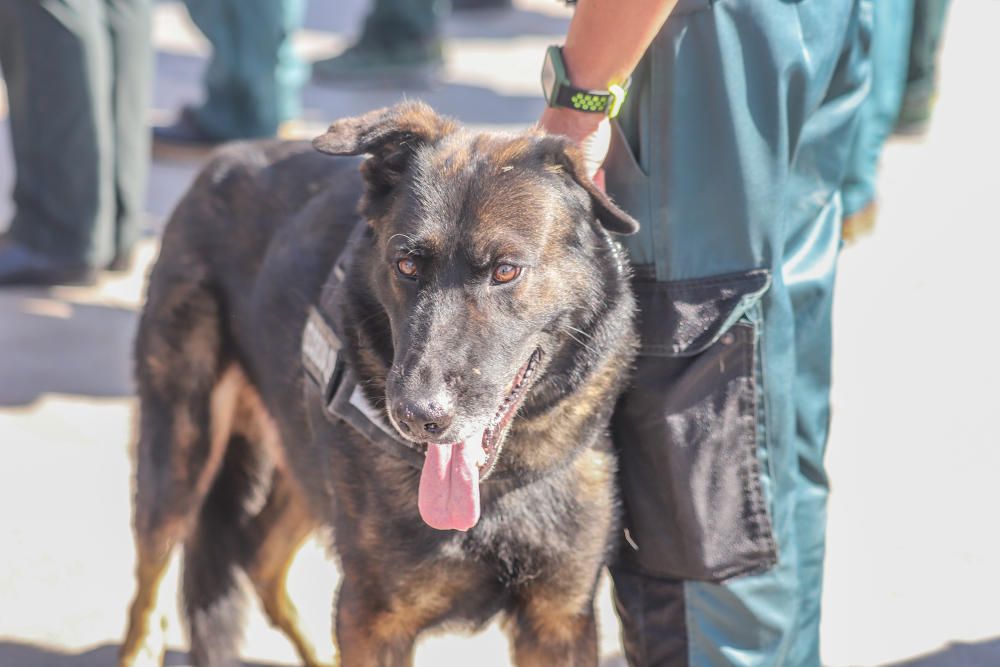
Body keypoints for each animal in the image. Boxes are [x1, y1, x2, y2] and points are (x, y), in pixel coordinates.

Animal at [121, 104, 636, 667]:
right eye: (406, 265)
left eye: (505, 270)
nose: (416, 415)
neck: (498, 485)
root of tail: (220, 162)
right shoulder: (374, 617)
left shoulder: (559, 620)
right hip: (180, 458)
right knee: (147, 597)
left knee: (259, 556)